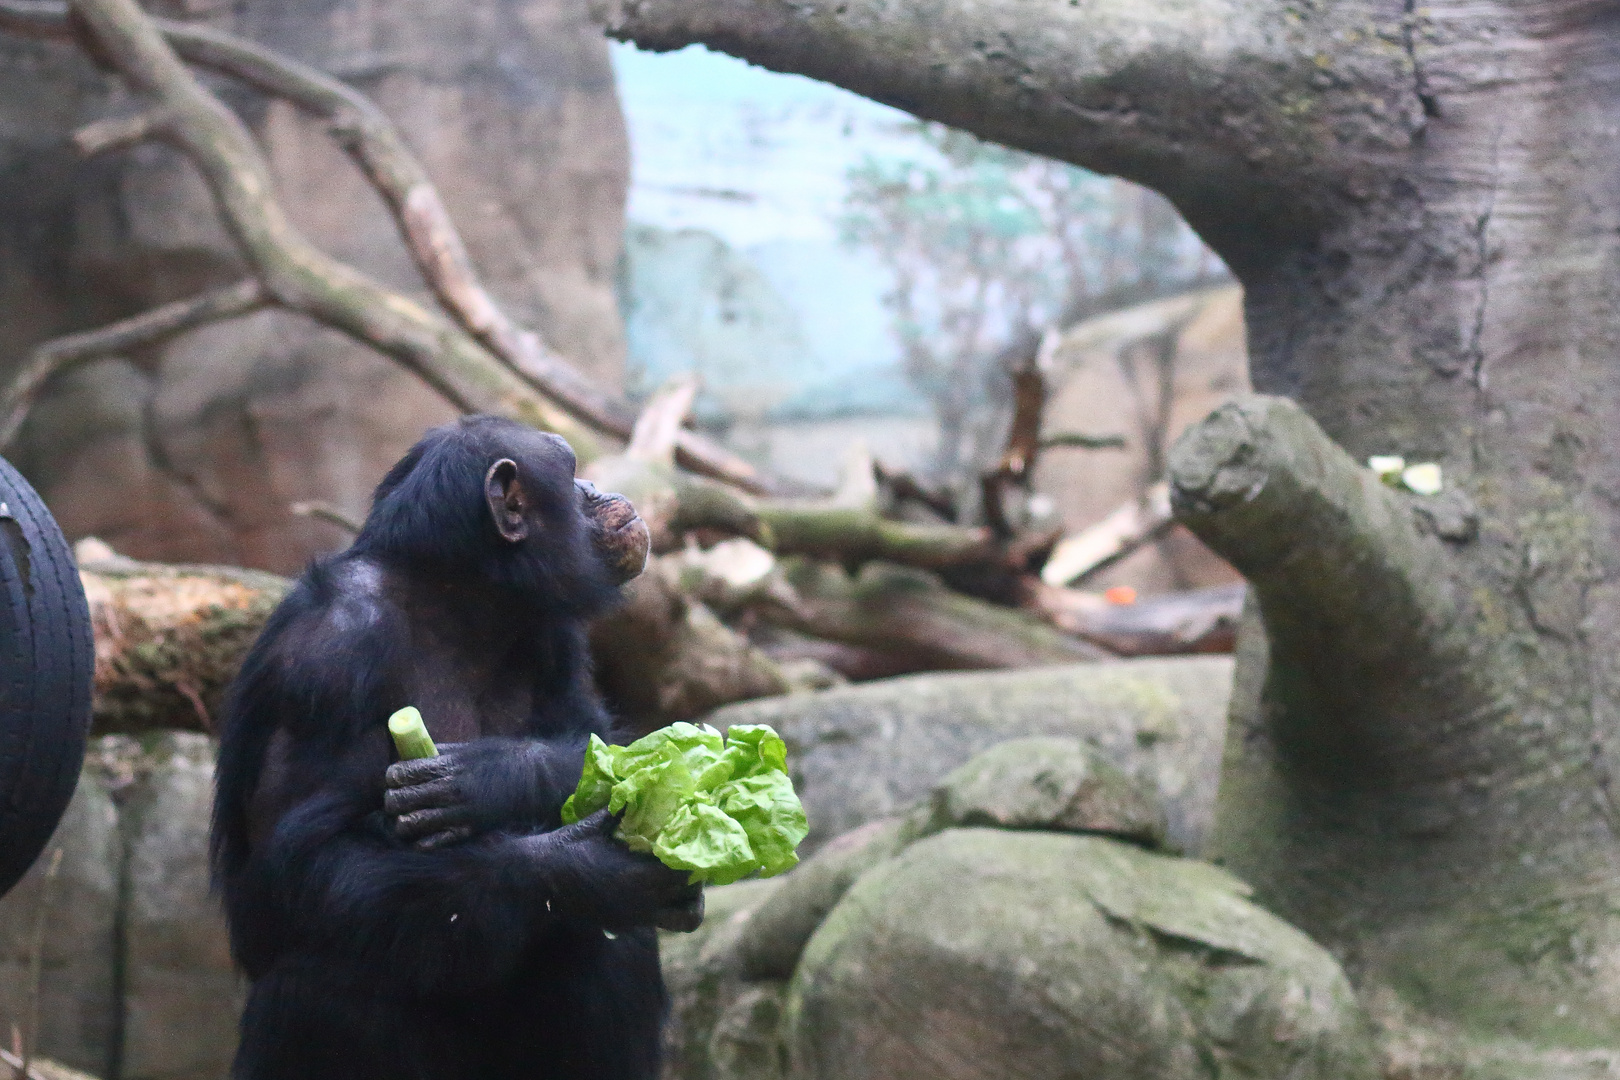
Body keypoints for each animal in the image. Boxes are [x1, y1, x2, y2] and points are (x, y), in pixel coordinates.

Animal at [210, 417, 703, 1080]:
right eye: (571, 470)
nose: (597, 488)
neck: (461, 606)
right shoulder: (324, 660)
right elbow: (302, 861)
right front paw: (587, 868)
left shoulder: (555, 634)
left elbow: (598, 736)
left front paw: (492, 780)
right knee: (319, 983)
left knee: (610, 947)